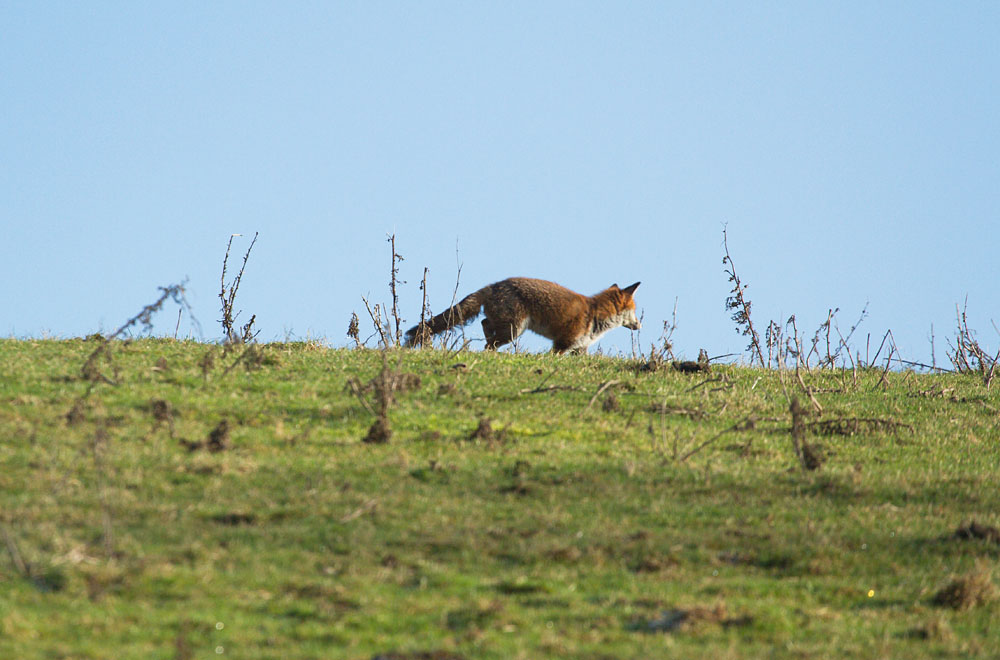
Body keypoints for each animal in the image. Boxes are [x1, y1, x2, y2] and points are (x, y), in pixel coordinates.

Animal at [404, 277, 641, 354]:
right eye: (635, 312)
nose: (640, 325)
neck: (595, 315)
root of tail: (493, 285)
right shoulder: (561, 345)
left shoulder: (579, 349)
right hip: (513, 331)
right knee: (489, 340)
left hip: (506, 327)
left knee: (485, 324)